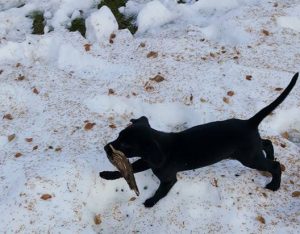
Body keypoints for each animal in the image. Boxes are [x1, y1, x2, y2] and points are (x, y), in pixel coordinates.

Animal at [100, 72, 298, 207]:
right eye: (118, 135)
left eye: (125, 144)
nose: (105, 148)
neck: (159, 147)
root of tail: (249, 122)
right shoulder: (146, 161)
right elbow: (129, 169)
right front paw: (106, 175)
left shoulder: (168, 178)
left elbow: (160, 192)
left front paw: (150, 202)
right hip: (250, 151)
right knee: (267, 143)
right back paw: (271, 156)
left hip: (249, 158)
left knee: (275, 166)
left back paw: (274, 184)